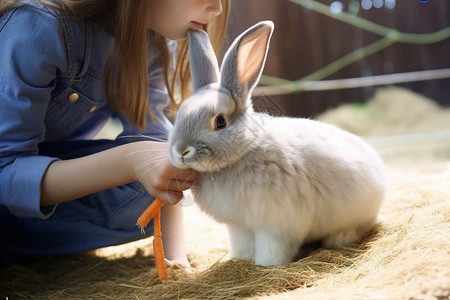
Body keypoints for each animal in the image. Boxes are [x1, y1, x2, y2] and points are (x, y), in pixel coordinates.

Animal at [169, 21, 386, 266]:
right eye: (180, 113)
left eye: (220, 121)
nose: (181, 150)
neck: (244, 151)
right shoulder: (239, 225)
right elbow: (242, 242)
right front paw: (241, 258)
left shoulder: (277, 223)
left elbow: (272, 247)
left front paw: (266, 264)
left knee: (365, 224)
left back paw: (339, 238)